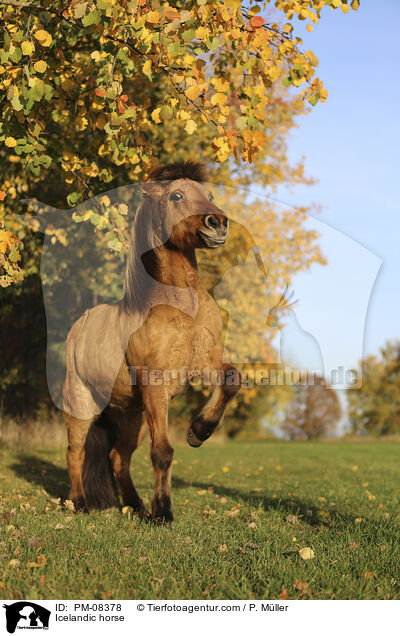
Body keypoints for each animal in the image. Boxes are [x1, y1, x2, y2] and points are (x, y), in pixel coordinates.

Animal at [63, 161, 241, 524]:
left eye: (210, 195)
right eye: (176, 196)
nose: (218, 223)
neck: (180, 306)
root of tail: (80, 324)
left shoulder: (204, 362)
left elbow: (232, 379)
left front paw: (198, 432)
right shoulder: (156, 387)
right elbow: (162, 452)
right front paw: (163, 512)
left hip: (134, 417)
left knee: (118, 457)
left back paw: (135, 505)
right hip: (82, 403)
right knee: (76, 452)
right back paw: (81, 504)